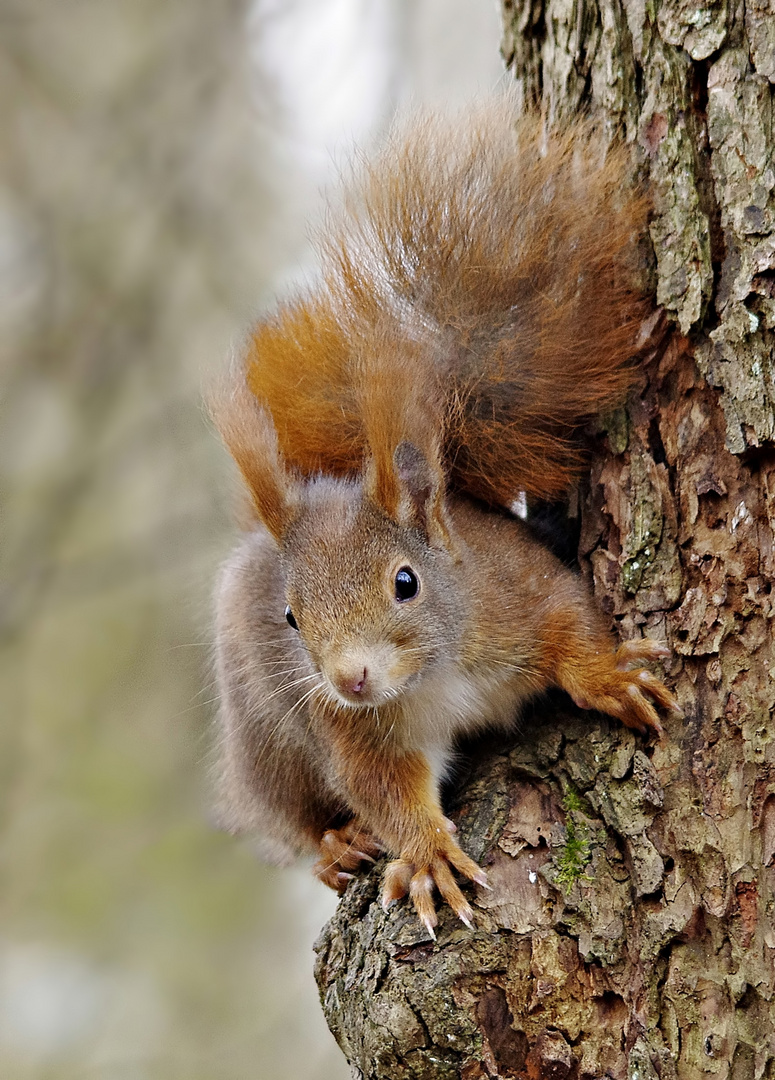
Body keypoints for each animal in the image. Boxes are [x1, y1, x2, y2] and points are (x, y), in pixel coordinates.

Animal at [212, 101, 682, 937]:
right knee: (290, 812)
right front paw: (426, 854)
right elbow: (384, 791)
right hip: (263, 736)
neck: (431, 677)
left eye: (406, 582)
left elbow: (571, 620)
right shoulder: (351, 731)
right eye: (291, 618)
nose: (351, 678)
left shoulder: (515, 589)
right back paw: (335, 843)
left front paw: (608, 678)